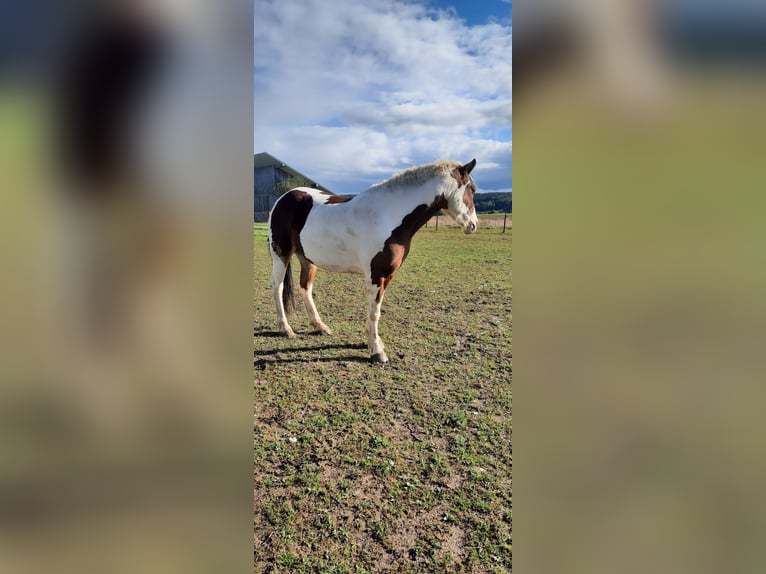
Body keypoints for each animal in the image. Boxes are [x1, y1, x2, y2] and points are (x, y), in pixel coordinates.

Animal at [268, 158, 476, 364]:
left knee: (306, 288)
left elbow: (375, 310)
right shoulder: (376, 274)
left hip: (307, 258)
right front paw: (377, 351)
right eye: (472, 189)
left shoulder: (388, 275)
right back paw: (285, 328)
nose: (473, 225)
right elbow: (375, 311)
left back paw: (320, 326)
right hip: (281, 255)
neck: (389, 214)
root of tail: (283, 198)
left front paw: (371, 341)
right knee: (277, 287)